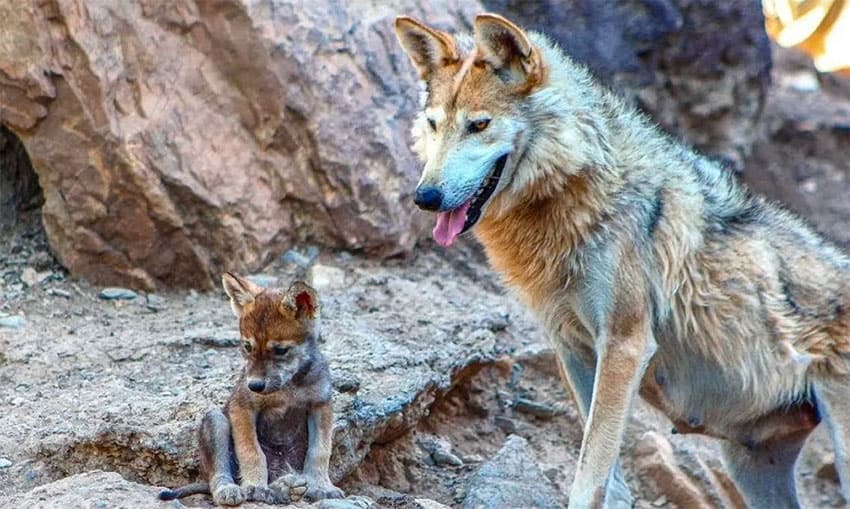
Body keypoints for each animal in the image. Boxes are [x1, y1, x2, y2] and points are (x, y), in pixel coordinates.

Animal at [396, 11, 848, 508]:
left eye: (478, 125)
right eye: (434, 124)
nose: (426, 197)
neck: (580, 193)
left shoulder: (625, 345)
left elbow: (590, 472)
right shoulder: (573, 349)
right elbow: (608, 480)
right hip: (749, 468)